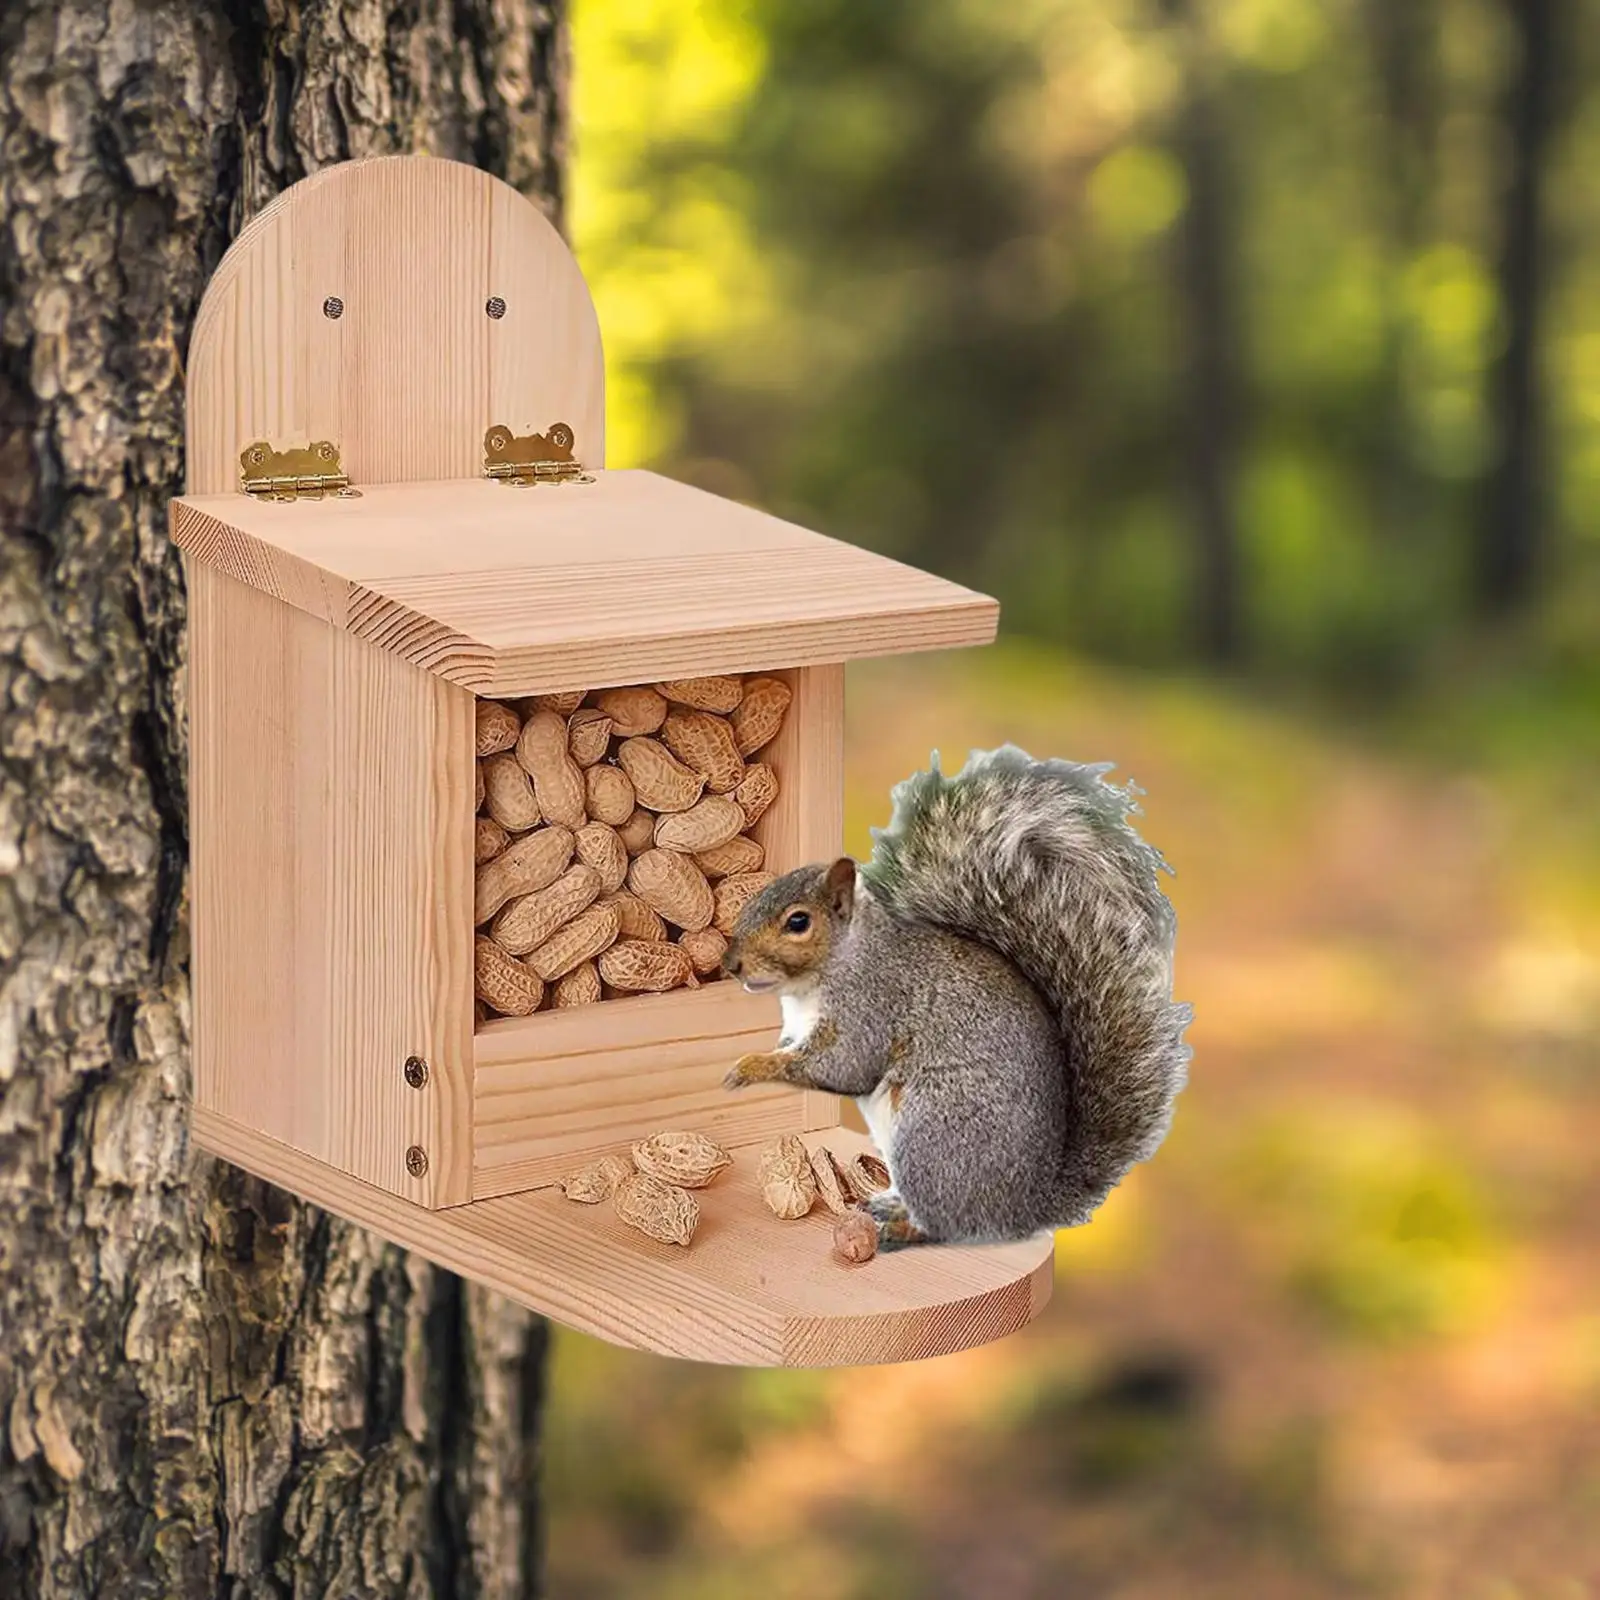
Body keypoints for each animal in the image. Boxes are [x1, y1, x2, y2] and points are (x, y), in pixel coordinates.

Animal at [720, 746, 1192, 1250]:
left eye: (798, 922)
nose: (731, 963)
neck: (826, 972)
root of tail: (1025, 1209)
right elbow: (796, 1050)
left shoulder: (870, 1004)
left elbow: (843, 1067)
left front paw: (748, 1067)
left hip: (931, 1133)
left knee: (947, 1225)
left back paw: (900, 1228)